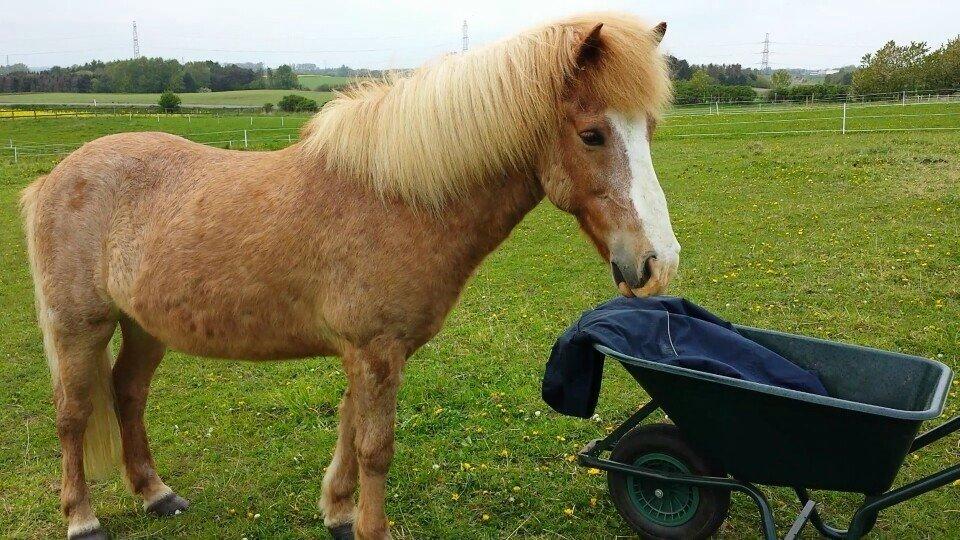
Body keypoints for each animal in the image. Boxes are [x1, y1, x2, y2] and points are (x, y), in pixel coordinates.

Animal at [20, 10, 676, 536]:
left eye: (649, 130)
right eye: (591, 134)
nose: (656, 263)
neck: (398, 199)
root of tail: (53, 178)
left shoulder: (366, 354)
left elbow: (347, 428)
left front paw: (336, 512)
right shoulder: (376, 350)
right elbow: (375, 447)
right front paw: (369, 528)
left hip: (144, 326)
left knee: (128, 394)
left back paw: (157, 495)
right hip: (80, 325)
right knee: (73, 415)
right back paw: (82, 518)